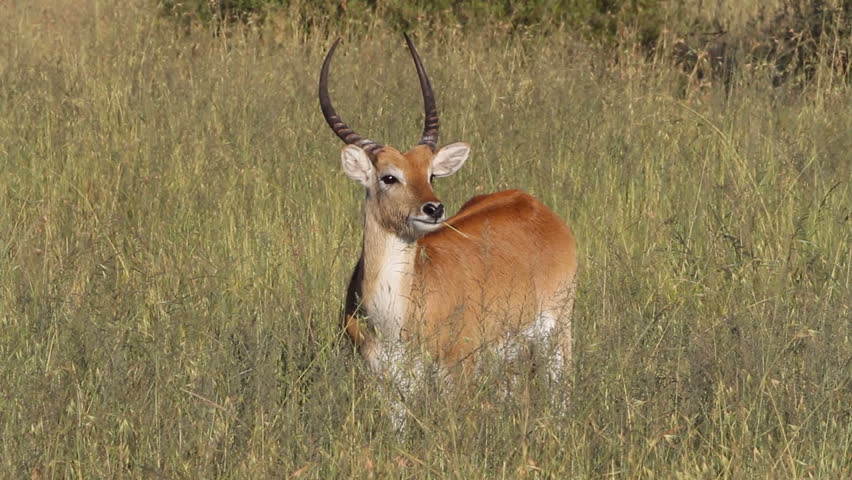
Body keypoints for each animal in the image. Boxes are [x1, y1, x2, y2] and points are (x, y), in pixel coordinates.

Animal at [321, 35, 578, 395]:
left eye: (431, 175)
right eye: (389, 176)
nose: (434, 208)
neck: (392, 319)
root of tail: (532, 204)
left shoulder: (458, 375)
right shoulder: (388, 385)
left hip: (556, 336)